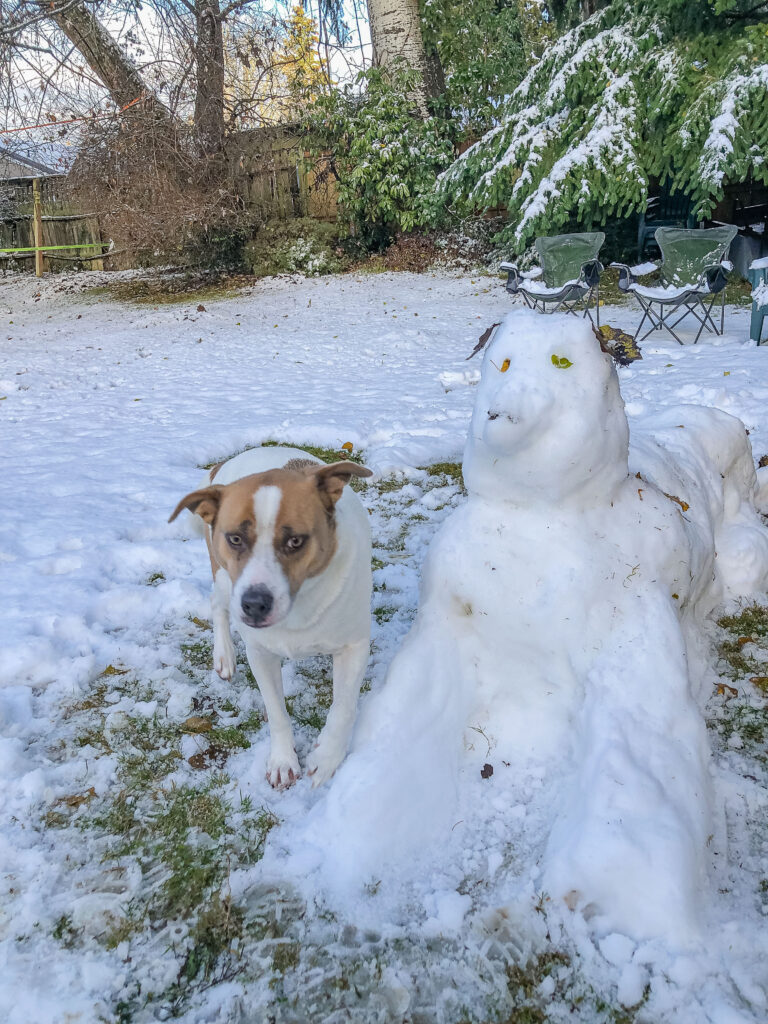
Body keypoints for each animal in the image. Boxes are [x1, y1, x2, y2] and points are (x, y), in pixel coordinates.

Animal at [169, 444, 374, 786]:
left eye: (295, 541)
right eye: (235, 538)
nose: (253, 604)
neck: (299, 606)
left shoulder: (354, 646)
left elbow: (343, 708)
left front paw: (326, 759)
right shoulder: (260, 652)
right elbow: (277, 712)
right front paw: (282, 759)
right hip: (223, 575)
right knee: (217, 603)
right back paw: (224, 655)